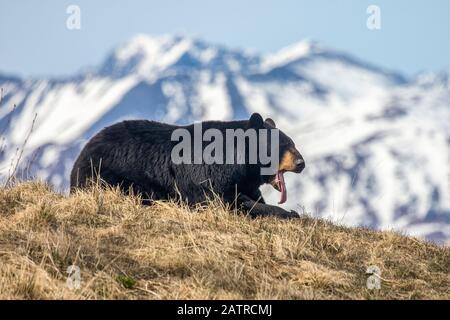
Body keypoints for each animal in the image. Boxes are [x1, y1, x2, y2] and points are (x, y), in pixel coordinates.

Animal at [70, 112, 306, 218]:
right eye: (283, 145)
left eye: (293, 143)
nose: (301, 163)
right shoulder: (207, 176)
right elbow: (226, 201)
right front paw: (288, 212)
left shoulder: (245, 181)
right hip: (106, 174)